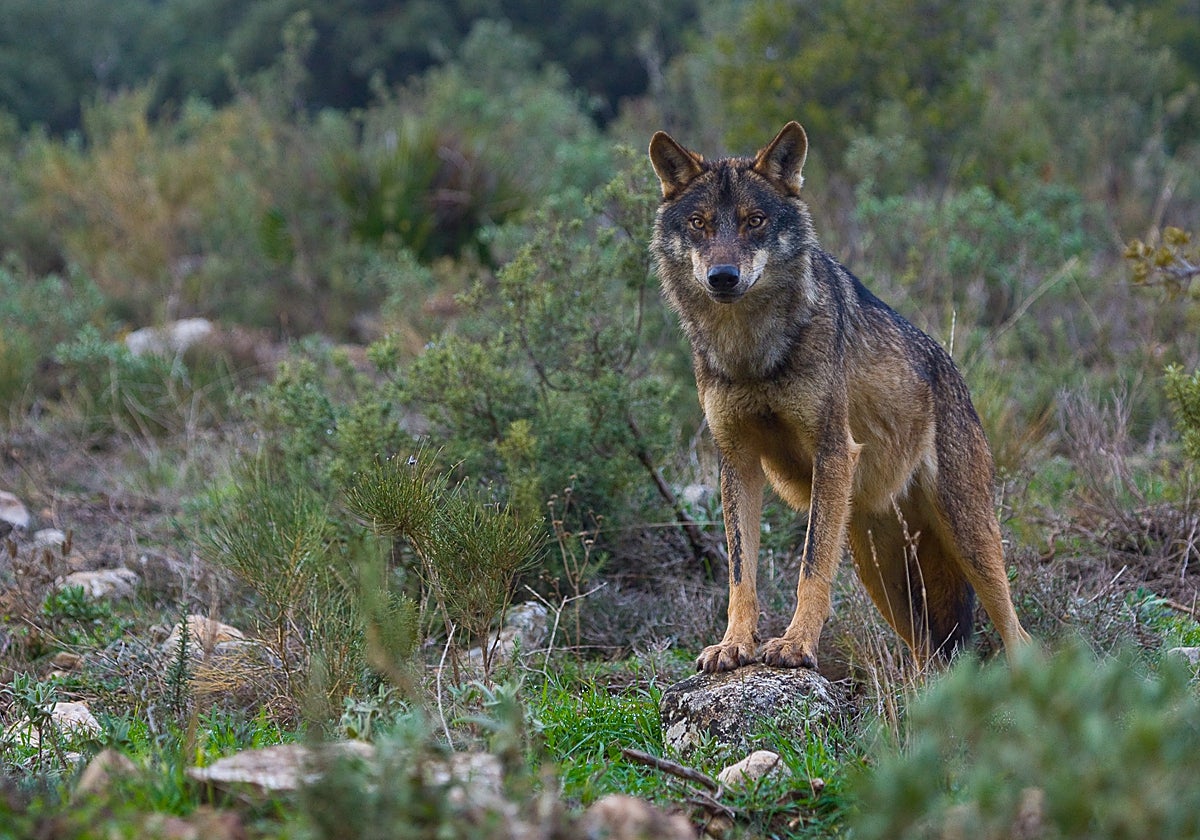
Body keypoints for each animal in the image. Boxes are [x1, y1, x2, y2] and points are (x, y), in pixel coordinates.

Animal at [648, 122, 1032, 672]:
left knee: (1018, 634)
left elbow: (810, 568)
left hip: (969, 539)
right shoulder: (736, 460)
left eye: (754, 221)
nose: (723, 277)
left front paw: (795, 644)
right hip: (879, 569)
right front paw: (734, 644)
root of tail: (954, 376)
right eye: (700, 224)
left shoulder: (831, 452)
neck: (752, 353)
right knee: (928, 654)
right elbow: (741, 572)